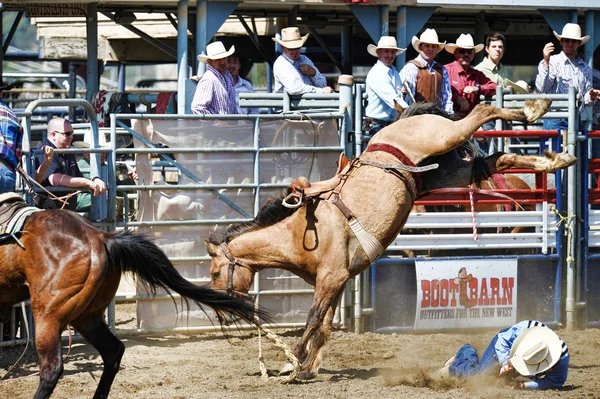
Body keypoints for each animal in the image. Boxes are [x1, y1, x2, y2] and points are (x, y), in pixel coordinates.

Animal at [205, 98, 576, 380]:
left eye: (213, 272)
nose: (222, 311)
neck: (300, 232)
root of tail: (400, 122)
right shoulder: (337, 281)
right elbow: (323, 325)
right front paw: (308, 367)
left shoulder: (331, 278)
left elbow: (312, 319)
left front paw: (291, 364)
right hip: (448, 171)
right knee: (494, 161)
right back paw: (556, 158)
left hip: (442, 137)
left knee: (482, 111)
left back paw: (533, 110)